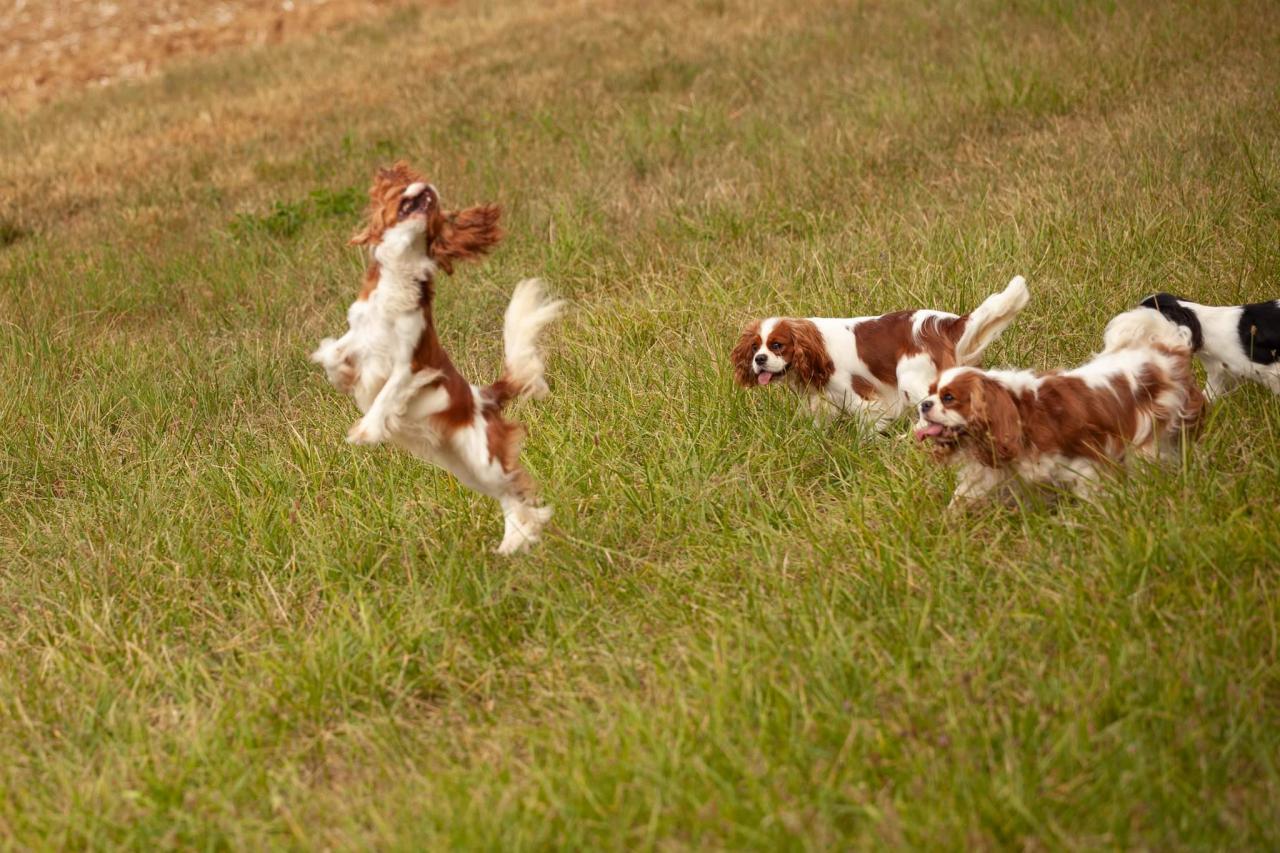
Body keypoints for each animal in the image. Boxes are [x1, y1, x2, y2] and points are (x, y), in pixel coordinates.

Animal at [307, 161, 563, 550]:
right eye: (401, 188)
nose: (426, 187)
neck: (400, 275)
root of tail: (487, 397)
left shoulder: (412, 364)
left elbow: (386, 396)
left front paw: (366, 430)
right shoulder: (360, 332)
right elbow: (335, 353)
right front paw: (343, 377)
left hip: (482, 458)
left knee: (517, 487)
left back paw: (523, 534)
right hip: (465, 467)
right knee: (506, 495)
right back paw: (513, 543)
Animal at [732, 275, 1029, 427]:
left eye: (777, 345)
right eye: (755, 347)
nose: (759, 359)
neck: (817, 349)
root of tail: (945, 324)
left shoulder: (862, 399)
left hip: (912, 381)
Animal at [916, 307, 1203, 502]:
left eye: (949, 398)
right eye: (930, 392)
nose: (924, 405)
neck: (1019, 410)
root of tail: (1167, 350)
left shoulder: (1083, 461)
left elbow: (1090, 491)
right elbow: (962, 496)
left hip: (1148, 438)